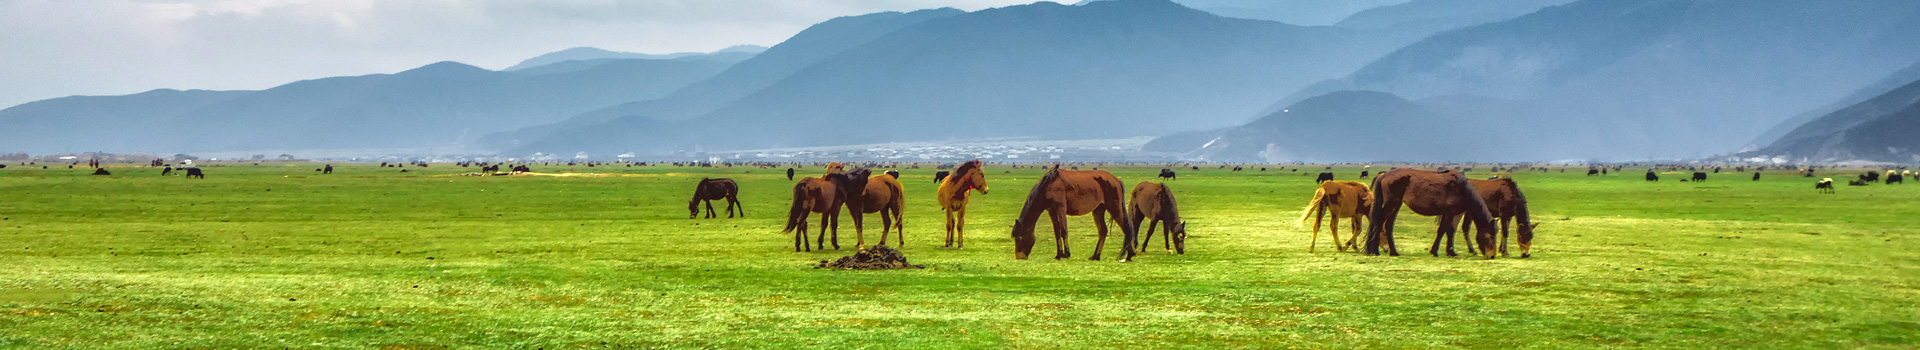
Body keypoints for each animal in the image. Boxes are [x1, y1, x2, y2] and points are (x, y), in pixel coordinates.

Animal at [1006, 167, 1136, 261]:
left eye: (1019, 237)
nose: (1019, 257)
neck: (1047, 187)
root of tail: (1117, 180)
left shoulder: (1060, 209)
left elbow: (1064, 231)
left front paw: (1067, 254)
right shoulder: (1052, 211)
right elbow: (1057, 232)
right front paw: (1058, 255)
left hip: (1114, 207)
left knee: (1127, 228)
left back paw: (1126, 255)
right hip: (1098, 210)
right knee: (1103, 231)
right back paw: (1096, 256)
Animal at [1367, 168, 1497, 257]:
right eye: (1490, 235)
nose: (1492, 256)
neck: (1461, 188)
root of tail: (1385, 175)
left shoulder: (1447, 213)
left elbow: (1443, 231)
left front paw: (1438, 251)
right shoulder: (1450, 213)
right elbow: (1448, 230)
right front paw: (1449, 252)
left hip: (1396, 205)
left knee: (1388, 226)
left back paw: (1393, 252)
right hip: (1391, 204)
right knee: (1379, 223)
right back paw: (1375, 251)